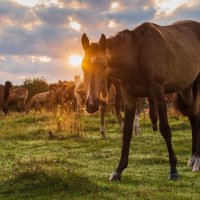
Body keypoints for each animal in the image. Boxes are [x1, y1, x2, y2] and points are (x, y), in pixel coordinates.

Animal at [80, 20, 200, 180]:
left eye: (104, 66)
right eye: (83, 67)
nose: (91, 104)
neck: (137, 55)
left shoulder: (158, 93)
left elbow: (165, 129)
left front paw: (173, 169)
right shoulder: (130, 96)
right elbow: (126, 131)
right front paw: (118, 170)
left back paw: (197, 161)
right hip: (186, 88)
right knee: (194, 117)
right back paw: (193, 158)